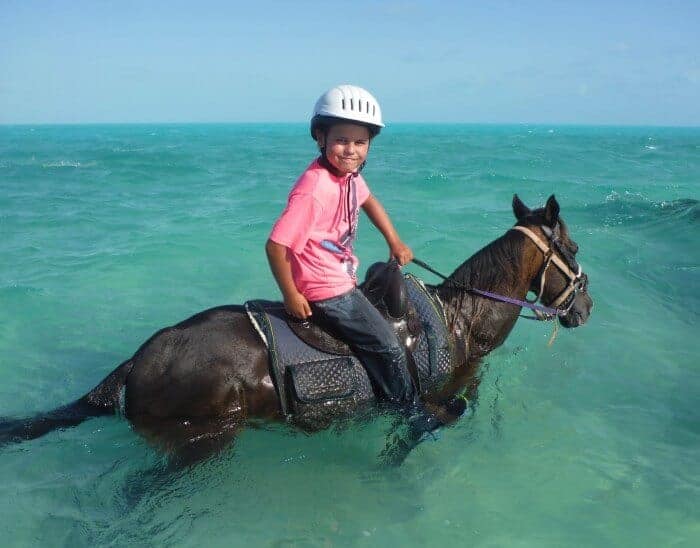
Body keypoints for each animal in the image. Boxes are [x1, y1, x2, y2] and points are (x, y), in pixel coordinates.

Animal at [0, 195, 592, 464]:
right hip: (200, 444)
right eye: (574, 247)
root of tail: (140, 360)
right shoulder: (444, 390)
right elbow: (445, 413)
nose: (585, 307)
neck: (461, 320)